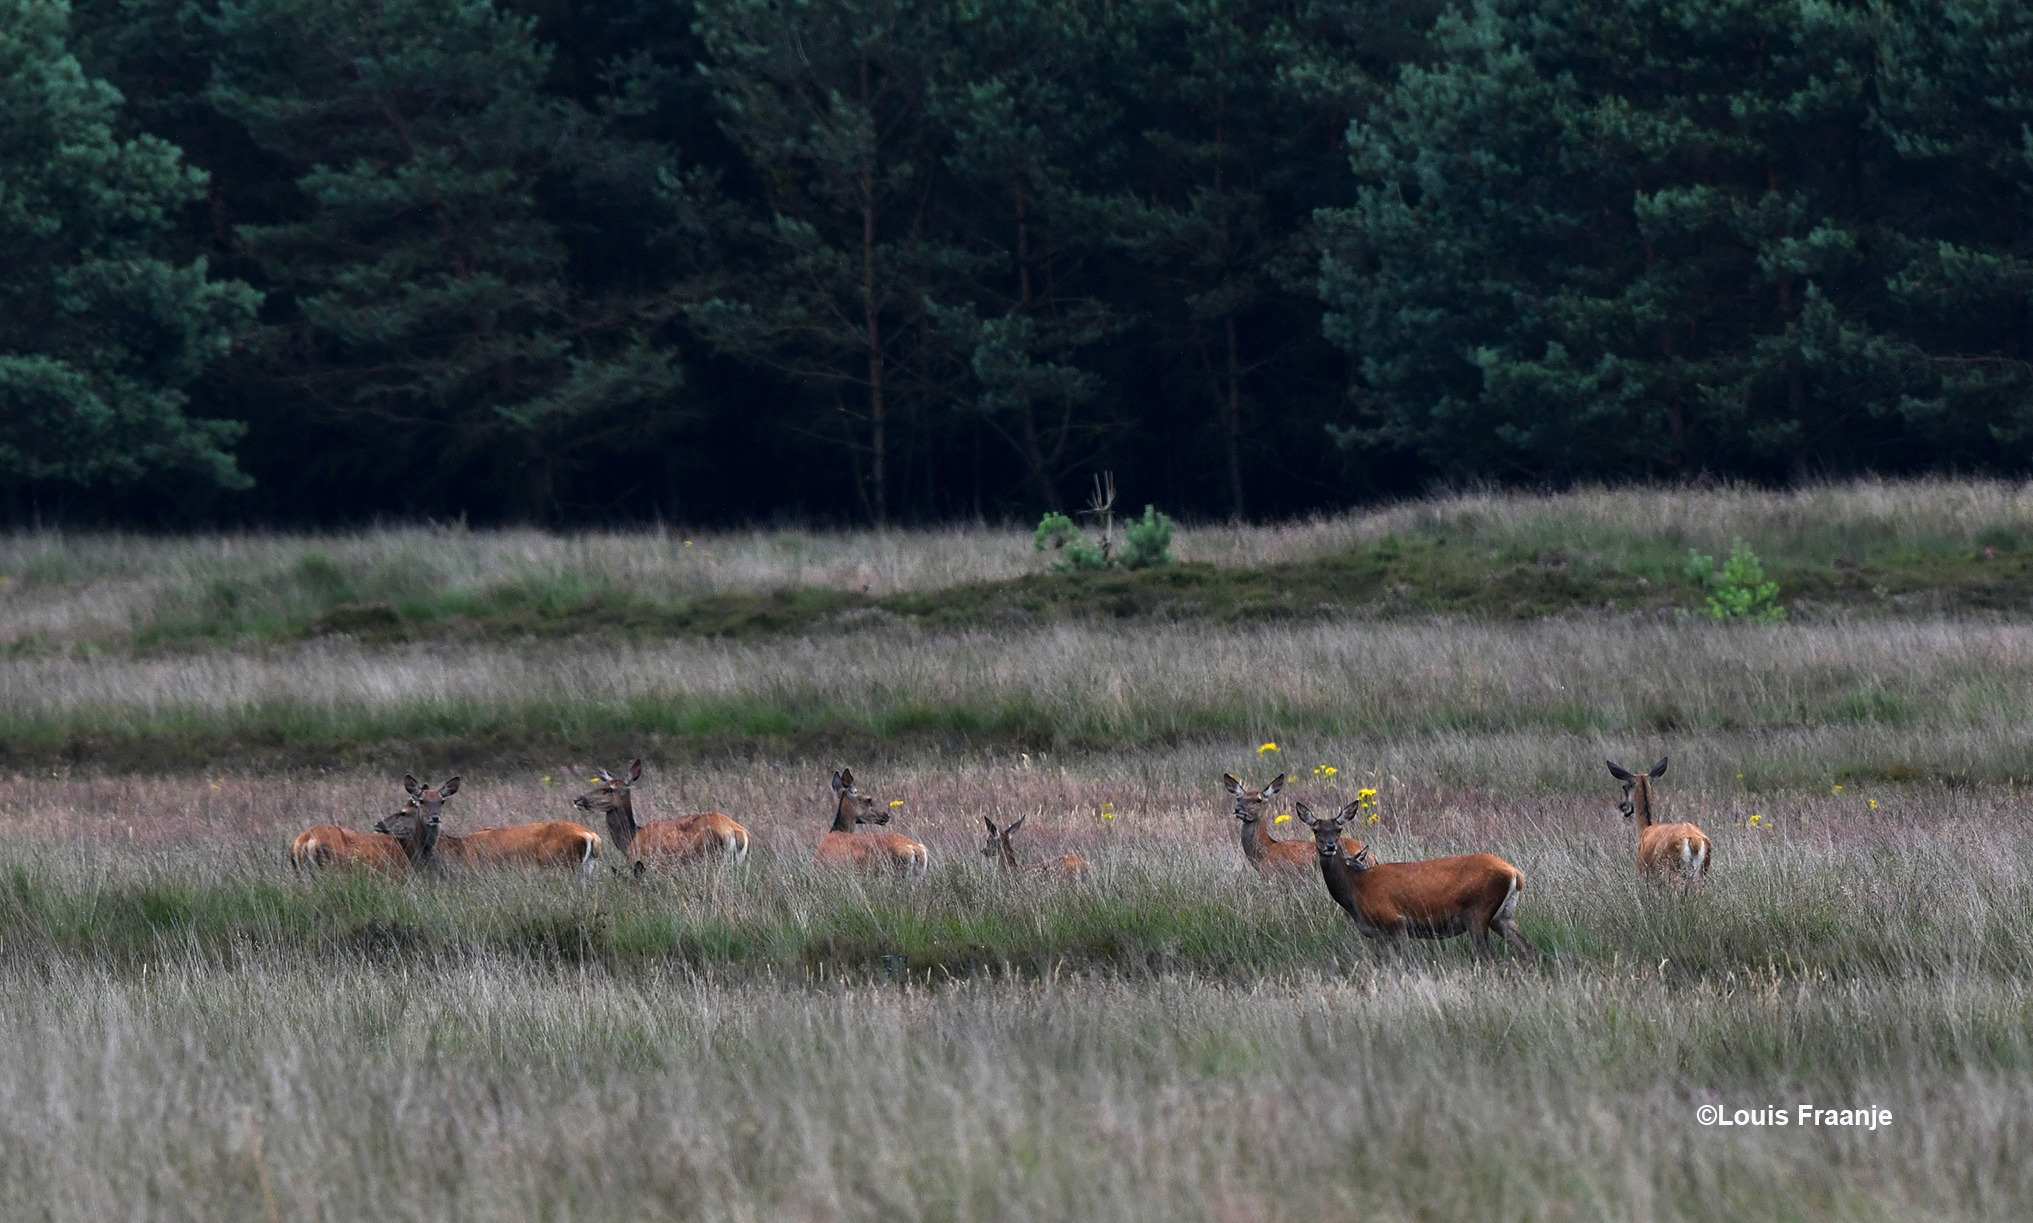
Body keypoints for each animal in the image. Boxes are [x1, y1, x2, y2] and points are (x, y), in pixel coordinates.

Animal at [376, 776, 597, 869]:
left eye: (404, 812)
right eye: (422, 801)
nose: (379, 824)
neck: (456, 850)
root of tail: (591, 836)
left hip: (559, 864)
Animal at [569, 755, 752, 869]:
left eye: (609, 789)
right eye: (600, 784)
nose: (577, 799)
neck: (630, 838)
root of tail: (737, 832)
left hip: (708, 857)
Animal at [1292, 800, 1528, 962]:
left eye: (1338, 829)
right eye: (1315, 830)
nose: (1330, 846)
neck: (1355, 891)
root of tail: (1515, 873)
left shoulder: (1395, 921)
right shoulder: (1380, 935)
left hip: (1477, 911)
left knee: (1490, 957)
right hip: (1503, 915)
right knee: (1527, 948)